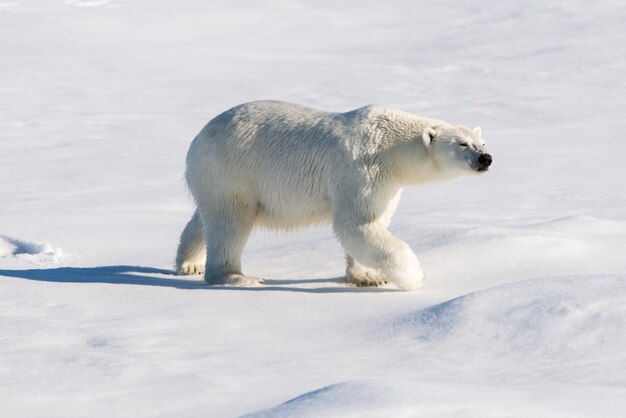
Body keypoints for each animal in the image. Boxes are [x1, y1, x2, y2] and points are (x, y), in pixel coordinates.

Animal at [173, 101, 490, 290]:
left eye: (482, 141)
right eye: (462, 144)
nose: (485, 159)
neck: (391, 147)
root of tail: (197, 140)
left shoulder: (388, 185)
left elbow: (374, 221)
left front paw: (368, 277)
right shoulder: (360, 170)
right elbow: (356, 224)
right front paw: (414, 276)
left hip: (215, 178)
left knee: (205, 217)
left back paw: (189, 263)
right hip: (233, 170)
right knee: (231, 222)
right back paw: (237, 277)